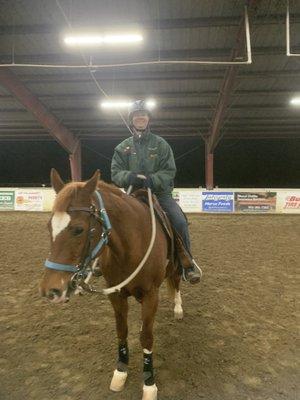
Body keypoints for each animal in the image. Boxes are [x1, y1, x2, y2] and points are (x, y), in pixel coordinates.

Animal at [38, 169, 184, 400]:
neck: (132, 246)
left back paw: (178, 308)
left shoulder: (151, 295)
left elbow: (147, 338)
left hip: (176, 266)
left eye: (79, 229)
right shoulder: (116, 295)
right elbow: (122, 331)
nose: (50, 290)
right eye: (48, 226)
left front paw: (149, 383)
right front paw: (120, 372)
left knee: (176, 281)